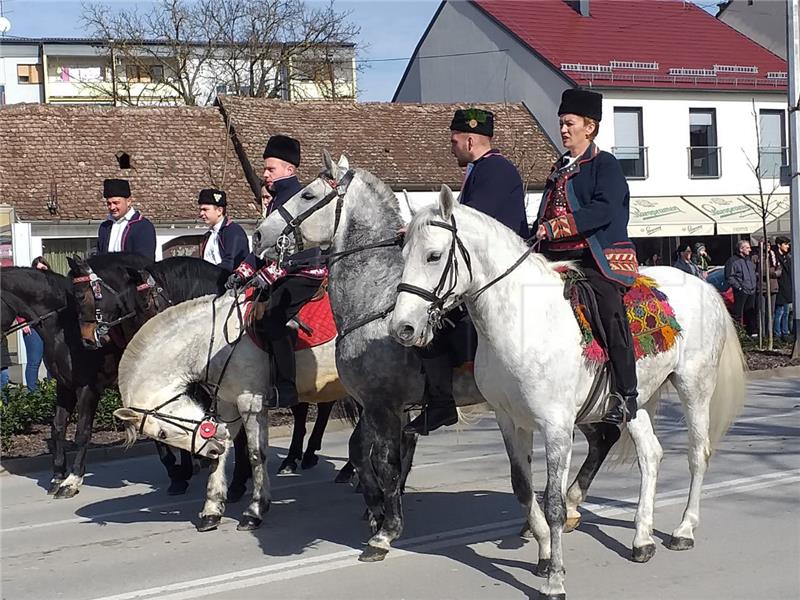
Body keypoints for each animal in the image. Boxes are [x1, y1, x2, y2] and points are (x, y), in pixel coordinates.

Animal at [114, 292, 342, 532]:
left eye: (162, 434)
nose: (210, 450)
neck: (215, 343)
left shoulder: (251, 403)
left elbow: (255, 454)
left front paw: (255, 509)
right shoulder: (226, 402)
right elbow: (222, 447)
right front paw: (212, 510)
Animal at [390, 185, 748, 596]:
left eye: (433, 256)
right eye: (402, 255)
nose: (402, 327)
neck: (522, 320)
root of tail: (705, 284)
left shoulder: (557, 426)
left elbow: (555, 503)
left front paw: (556, 580)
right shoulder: (510, 420)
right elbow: (523, 488)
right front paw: (545, 554)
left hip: (695, 386)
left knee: (696, 453)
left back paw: (684, 529)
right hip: (636, 400)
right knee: (651, 455)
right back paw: (642, 539)